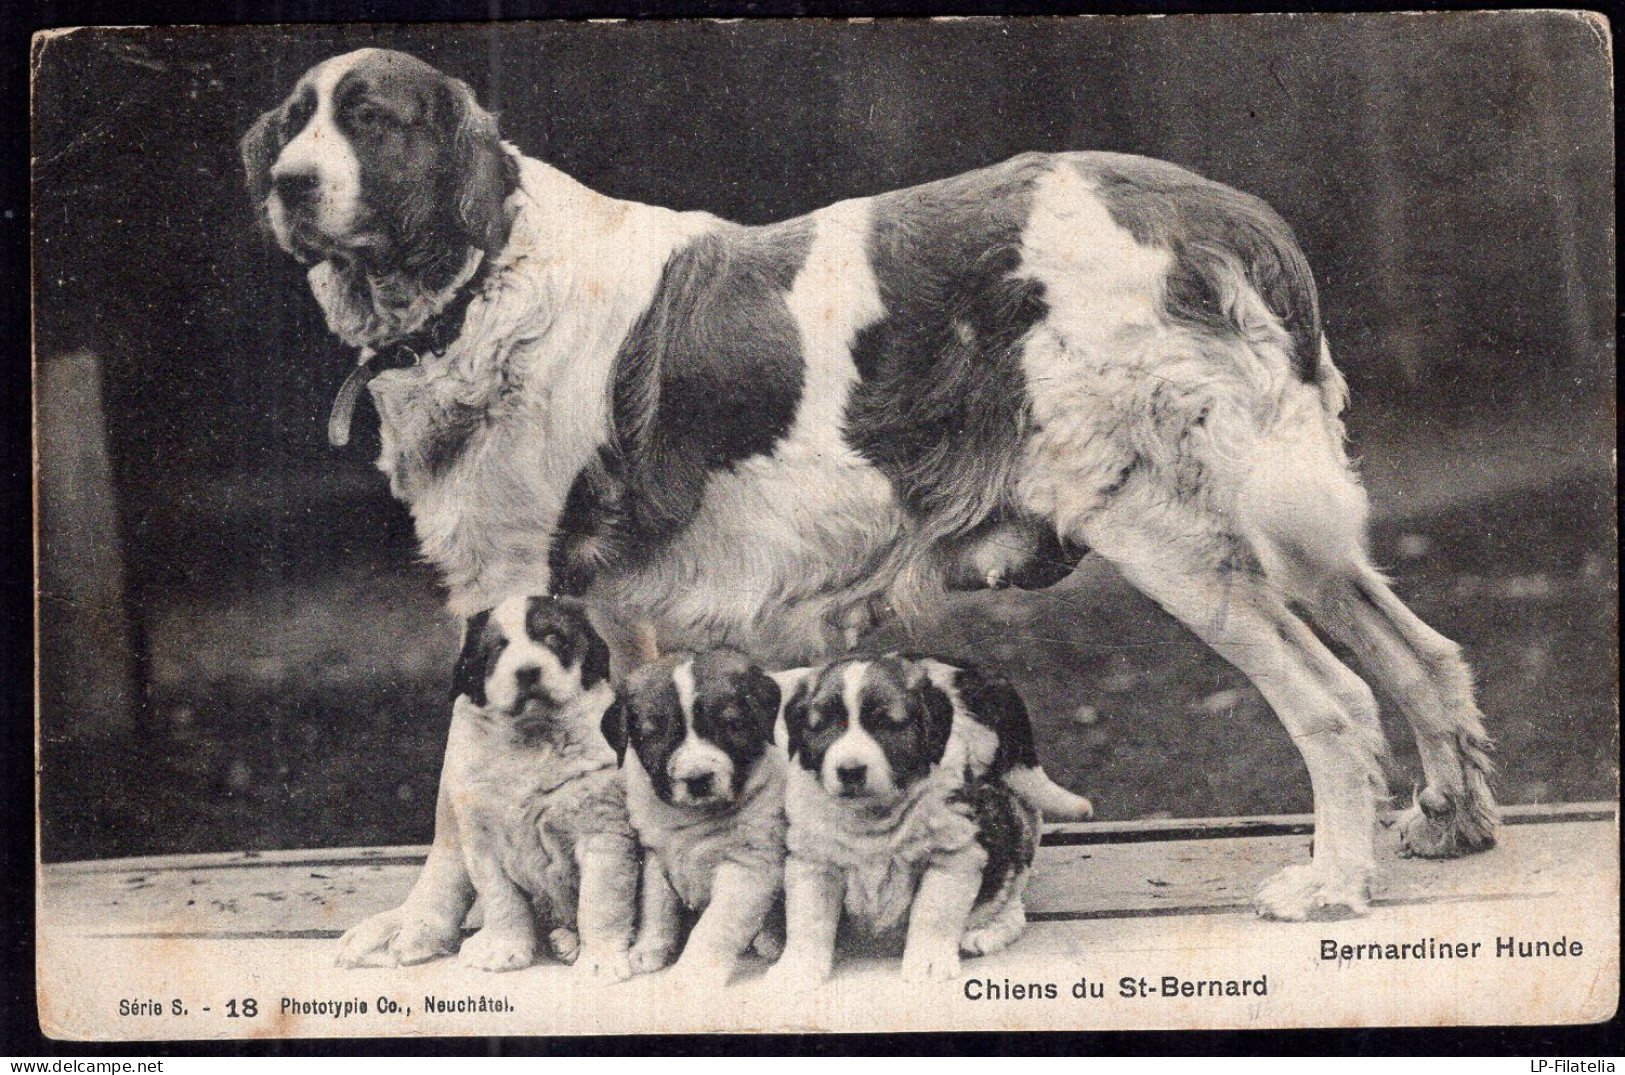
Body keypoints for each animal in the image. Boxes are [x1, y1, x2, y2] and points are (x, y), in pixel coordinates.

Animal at [604, 649, 793, 987]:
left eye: (732, 725)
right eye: (652, 734)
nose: (698, 779)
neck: (693, 820)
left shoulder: (748, 867)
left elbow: (713, 928)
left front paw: (691, 974)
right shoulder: (657, 856)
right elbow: (656, 905)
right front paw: (649, 948)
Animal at [763, 652, 1092, 987]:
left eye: (885, 724)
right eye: (823, 726)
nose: (850, 771)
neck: (873, 816)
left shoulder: (952, 854)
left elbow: (934, 912)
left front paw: (928, 964)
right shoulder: (815, 861)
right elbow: (809, 919)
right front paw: (798, 968)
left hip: (1009, 833)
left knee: (1010, 895)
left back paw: (984, 931)